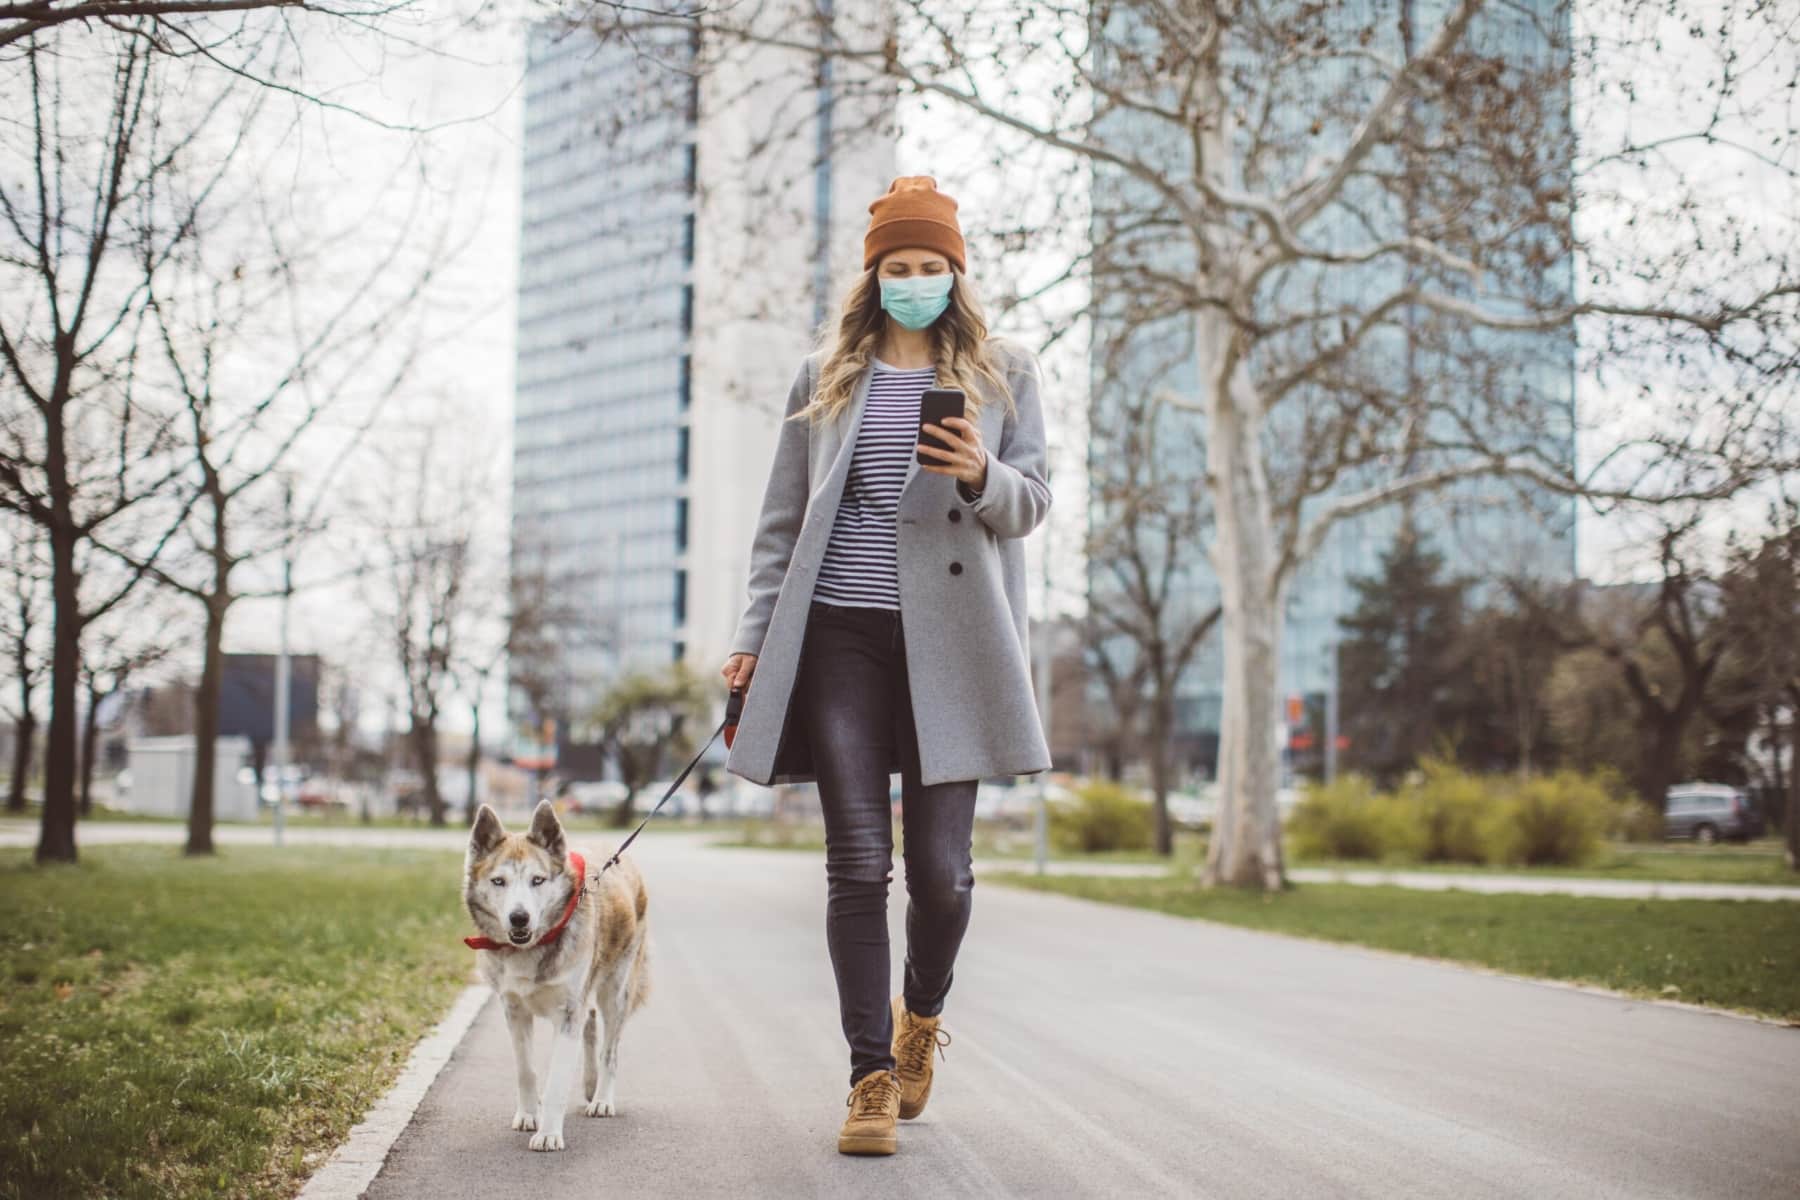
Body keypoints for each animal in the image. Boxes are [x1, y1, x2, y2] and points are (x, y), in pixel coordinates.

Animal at [464, 802, 655, 1151]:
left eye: (538, 880)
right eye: (498, 881)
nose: (519, 917)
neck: (531, 946)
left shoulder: (567, 1015)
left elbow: (556, 1081)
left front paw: (549, 1133)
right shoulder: (514, 1010)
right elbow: (526, 1070)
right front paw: (529, 1115)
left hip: (616, 991)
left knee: (610, 1050)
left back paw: (602, 1099)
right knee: (590, 1022)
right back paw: (590, 1085)